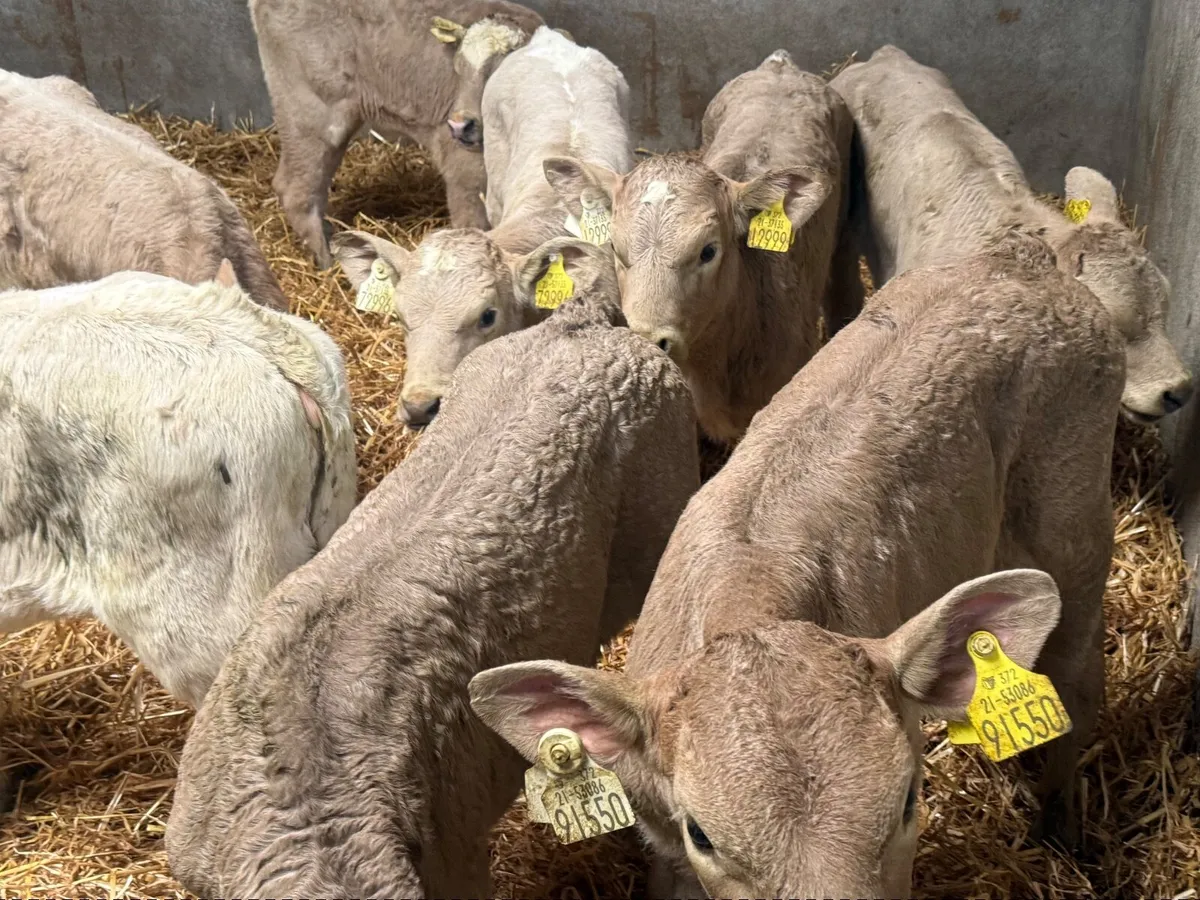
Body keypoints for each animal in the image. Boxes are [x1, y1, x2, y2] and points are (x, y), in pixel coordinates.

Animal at [249, 0, 546, 268]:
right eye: (458, 68)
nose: (459, 124)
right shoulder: (463, 171)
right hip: (310, 114)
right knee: (296, 190)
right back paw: (329, 266)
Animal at [471, 231, 1122, 898]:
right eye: (701, 834)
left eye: (909, 800)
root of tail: (1024, 259)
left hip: (1072, 517)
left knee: (1077, 665)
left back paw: (1060, 820)